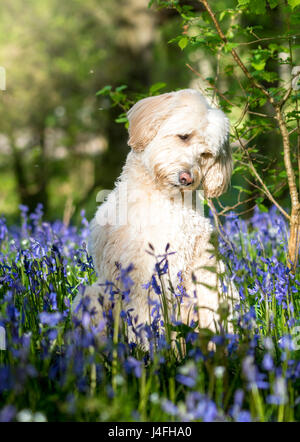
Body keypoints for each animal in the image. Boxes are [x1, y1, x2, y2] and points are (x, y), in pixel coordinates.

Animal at [74, 89, 238, 342]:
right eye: (184, 136)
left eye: (205, 154)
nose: (187, 178)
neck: (157, 195)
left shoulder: (152, 276)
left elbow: (144, 319)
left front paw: (145, 346)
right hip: (92, 293)